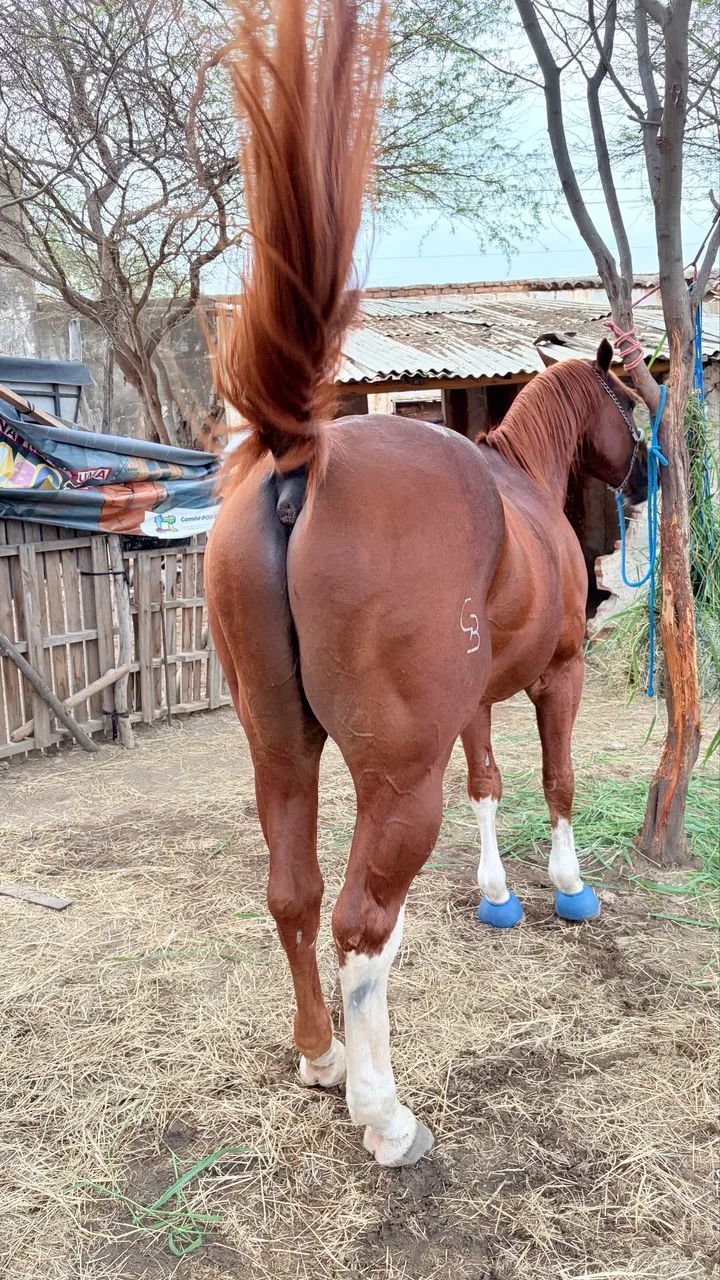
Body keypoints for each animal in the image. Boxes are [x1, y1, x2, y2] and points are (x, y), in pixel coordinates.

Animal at [206, 0, 648, 1167]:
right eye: (627, 403)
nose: (642, 473)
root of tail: (300, 446)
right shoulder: (553, 678)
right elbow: (555, 781)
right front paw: (565, 888)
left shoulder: (475, 703)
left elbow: (490, 782)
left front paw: (496, 894)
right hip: (394, 780)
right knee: (361, 924)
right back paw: (383, 1110)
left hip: (281, 751)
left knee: (295, 893)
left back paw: (321, 1057)